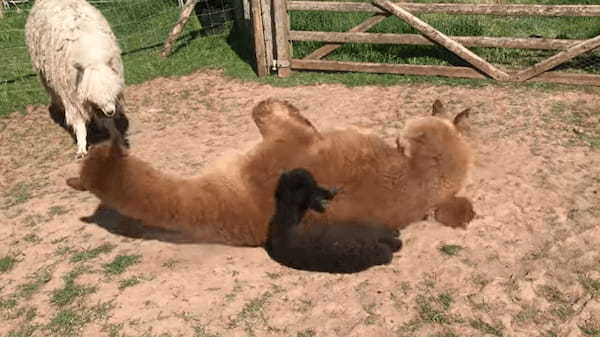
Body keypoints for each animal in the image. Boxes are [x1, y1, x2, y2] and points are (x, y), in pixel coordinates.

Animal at [26, 0, 129, 158]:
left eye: (113, 91)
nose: (111, 111)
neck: (92, 56)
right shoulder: (72, 95)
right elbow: (79, 122)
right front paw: (81, 147)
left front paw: (115, 135)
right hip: (44, 74)